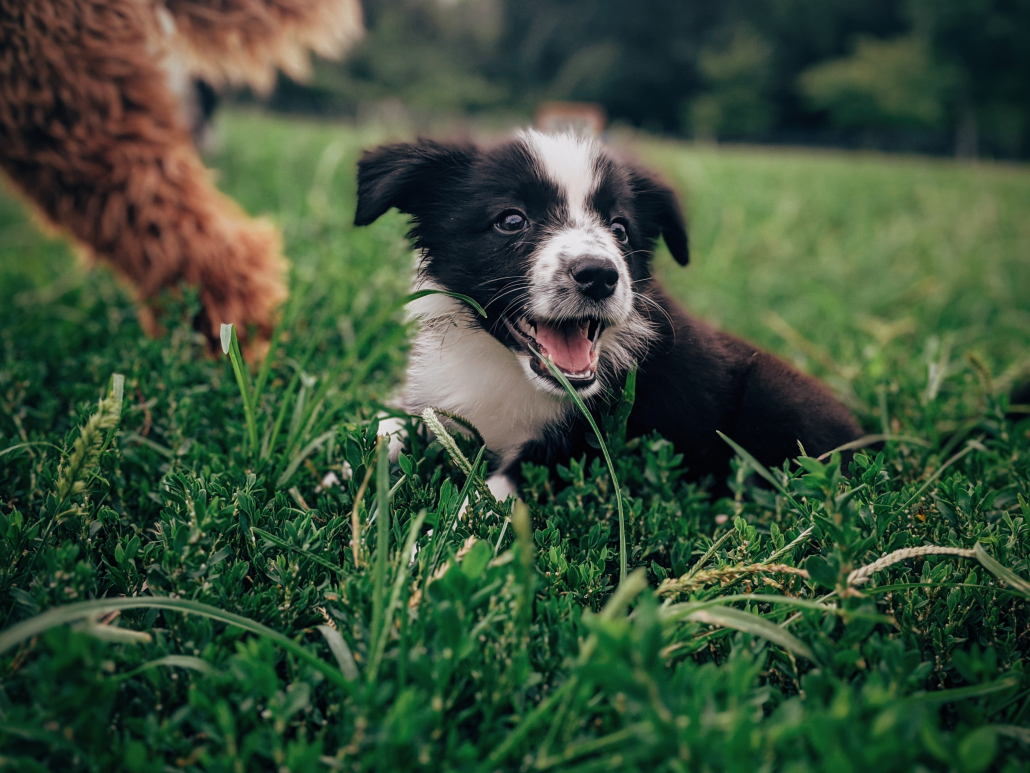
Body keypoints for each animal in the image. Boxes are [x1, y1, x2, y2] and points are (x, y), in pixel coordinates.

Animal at [354, 131, 861, 502]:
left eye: (620, 228)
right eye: (511, 220)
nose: (599, 275)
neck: (505, 366)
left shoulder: (590, 439)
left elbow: (494, 490)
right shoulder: (441, 399)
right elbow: (388, 425)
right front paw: (346, 468)